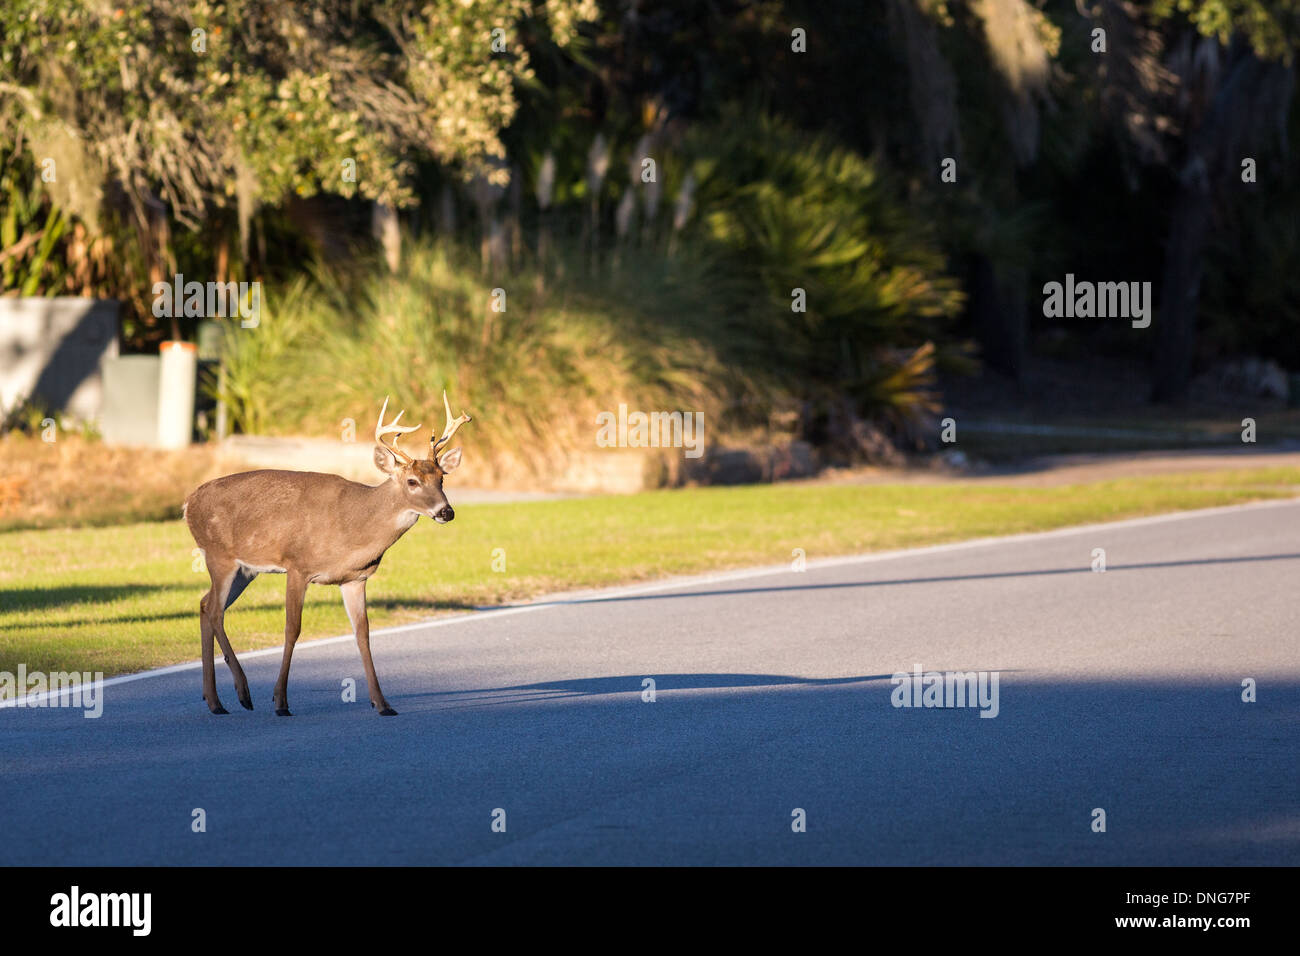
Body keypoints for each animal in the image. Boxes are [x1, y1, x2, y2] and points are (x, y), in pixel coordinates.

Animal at [180, 390, 470, 717]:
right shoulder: (297, 565)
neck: (353, 528)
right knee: (215, 610)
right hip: (219, 555)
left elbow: (362, 634)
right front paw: (280, 701)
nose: (446, 511)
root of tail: (188, 503)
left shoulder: (356, 579)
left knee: (205, 604)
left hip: (245, 570)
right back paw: (243, 693)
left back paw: (215, 701)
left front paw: (382, 703)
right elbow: (292, 629)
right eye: (412, 481)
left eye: (442, 479)